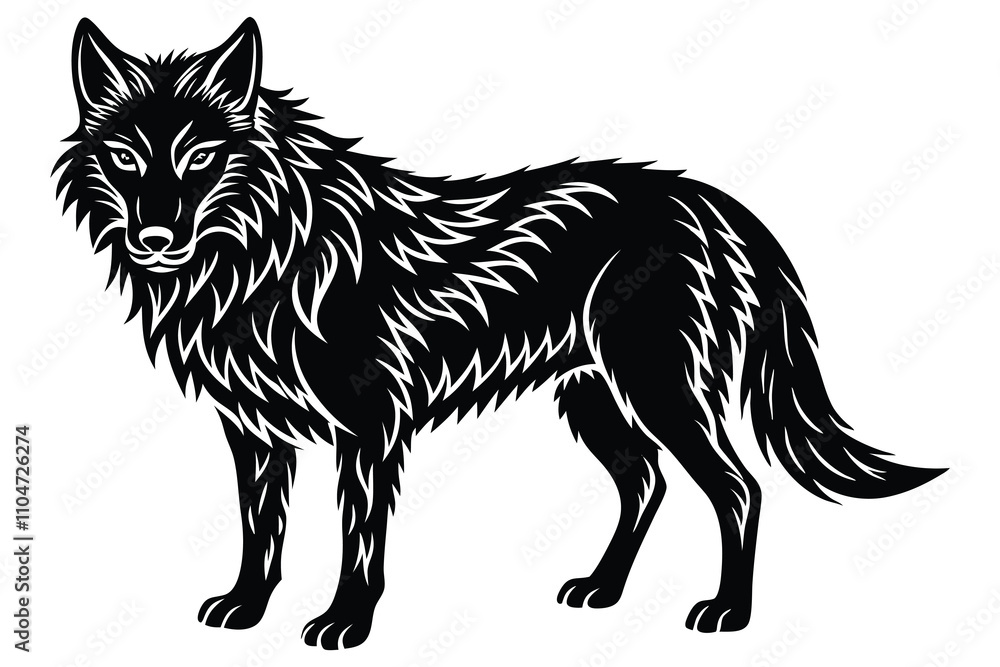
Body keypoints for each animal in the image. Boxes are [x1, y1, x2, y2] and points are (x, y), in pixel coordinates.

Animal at [53, 17, 944, 649]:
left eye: (201, 157)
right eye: (126, 159)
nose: (154, 237)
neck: (267, 251)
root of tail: (710, 199)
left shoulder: (368, 428)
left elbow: (357, 536)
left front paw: (346, 621)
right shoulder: (254, 429)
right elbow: (257, 527)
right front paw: (246, 604)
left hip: (657, 389)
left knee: (738, 488)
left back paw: (728, 610)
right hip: (595, 398)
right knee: (646, 483)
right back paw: (602, 590)